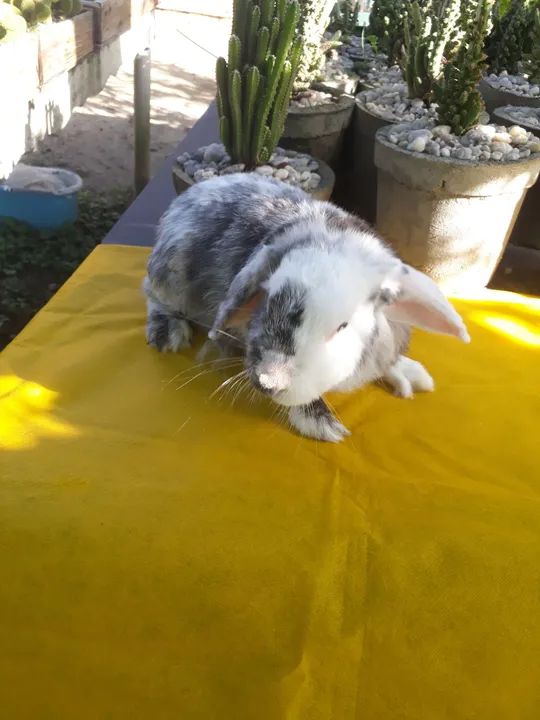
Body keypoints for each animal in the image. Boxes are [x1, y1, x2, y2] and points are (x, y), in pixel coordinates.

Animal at [144, 173, 469, 442]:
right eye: (268, 298)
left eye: (342, 326)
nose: (269, 381)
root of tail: (188, 196)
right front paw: (322, 424)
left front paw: (409, 374)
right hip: (170, 275)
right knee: (152, 295)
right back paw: (168, 334)